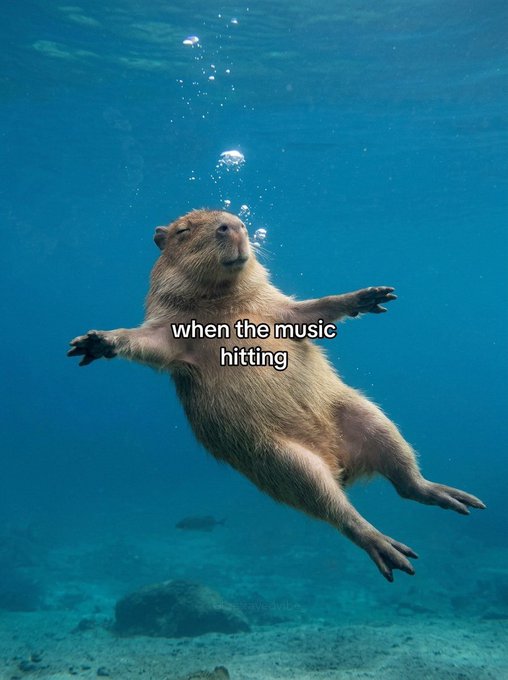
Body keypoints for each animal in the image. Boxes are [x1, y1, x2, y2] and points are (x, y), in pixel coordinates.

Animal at [68, 209, 485, 581]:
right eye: (183, 230)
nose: (233, 224)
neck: (223, 301)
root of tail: (343, 465)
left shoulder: (278, 308)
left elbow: (313, 311)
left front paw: (368, 297)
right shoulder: (170, 333)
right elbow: (144, 342)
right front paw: (95, 341)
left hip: (369, 418)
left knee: (407, 484)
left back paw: (453, 497)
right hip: (286, 463)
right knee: (341, 512)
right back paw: (388, 548)